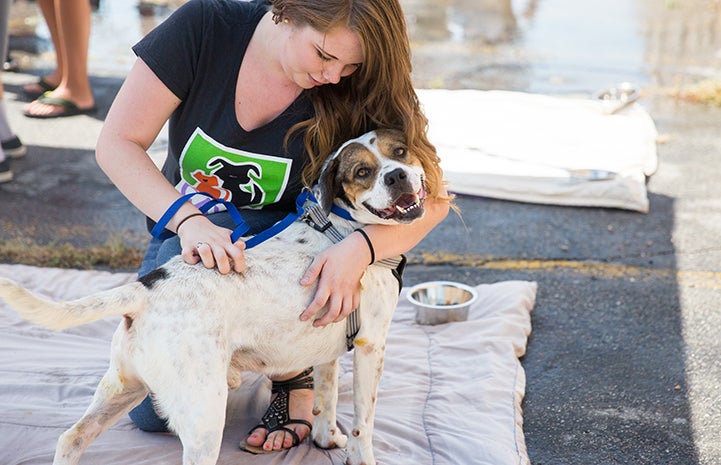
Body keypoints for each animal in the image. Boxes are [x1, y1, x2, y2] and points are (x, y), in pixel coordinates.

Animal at [0, 129, 428, 464]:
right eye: (362, 172)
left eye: (400, 151)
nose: (397, 175)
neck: (346, 228)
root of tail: (147, 286)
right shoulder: (372, 345)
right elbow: (363, 424)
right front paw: (360, 455)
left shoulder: (328, 342)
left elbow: (327, 395)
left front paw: (326, 438)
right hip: (204, 414)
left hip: (122, 386)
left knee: (71, 437)